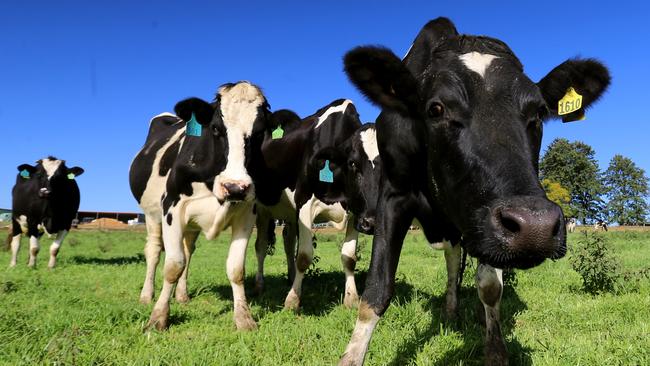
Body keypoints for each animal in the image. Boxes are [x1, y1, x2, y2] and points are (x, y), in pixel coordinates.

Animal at [128, 81, 278, 330]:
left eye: (259, 133)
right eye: (216, 129)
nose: (235, 187)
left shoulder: (247, 214)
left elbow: (236, 269)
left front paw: (244, 318)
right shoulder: (172, 208)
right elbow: (173, 266)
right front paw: (158, 317)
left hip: (192, 224)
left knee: (188, 251)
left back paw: (182, 295)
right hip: (152, 215)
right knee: (154, 251)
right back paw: (146, 295)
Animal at [248, 99, 380, 308]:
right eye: (352, 163)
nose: (372, 223)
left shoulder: (355, 211)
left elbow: (349, 256)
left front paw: (351, 297)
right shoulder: (305, 202)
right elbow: (303, 256)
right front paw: (292, 300)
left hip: (290, 214)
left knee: (288, 240)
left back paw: (291, 277)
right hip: (261, 210)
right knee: (260, 246)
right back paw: (259, 285)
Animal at [336, 18, 612, 364]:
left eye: (538, 112)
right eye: (436, 109)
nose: (534, 226)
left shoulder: (483, 218)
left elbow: (490, 286)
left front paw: (495, 350)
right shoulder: (393, 195)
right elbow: (376, 290)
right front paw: (351, 355)